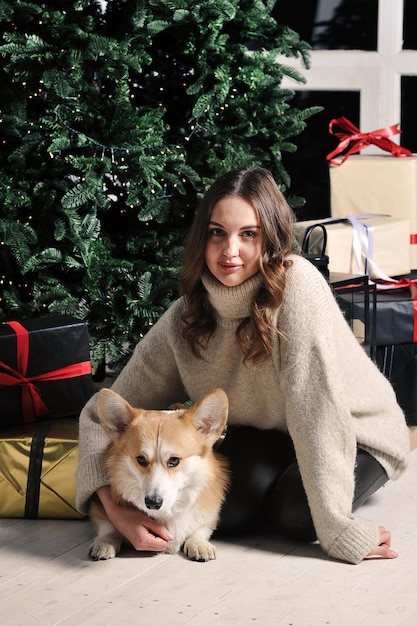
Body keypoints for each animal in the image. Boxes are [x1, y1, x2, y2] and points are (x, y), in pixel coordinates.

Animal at [89, 388, 229, 560]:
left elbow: (201, 528)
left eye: (174, 460)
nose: (152, 503)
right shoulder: (99, 509)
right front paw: (105, 541)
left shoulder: (208, 515)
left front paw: (198, 543)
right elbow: (108, 526)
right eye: (141, 459)